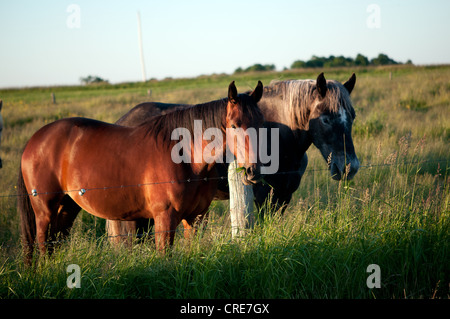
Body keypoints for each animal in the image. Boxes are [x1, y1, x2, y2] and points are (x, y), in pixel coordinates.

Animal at [16, 81, 264, 264]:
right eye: (234, 125)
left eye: (261, 123)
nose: (253, 171)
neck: (184, 156)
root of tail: (35, 139)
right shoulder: (164, 218)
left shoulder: (195, 218)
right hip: (45, 211)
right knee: (43, 244)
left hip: (67, 207)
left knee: (55, 242)